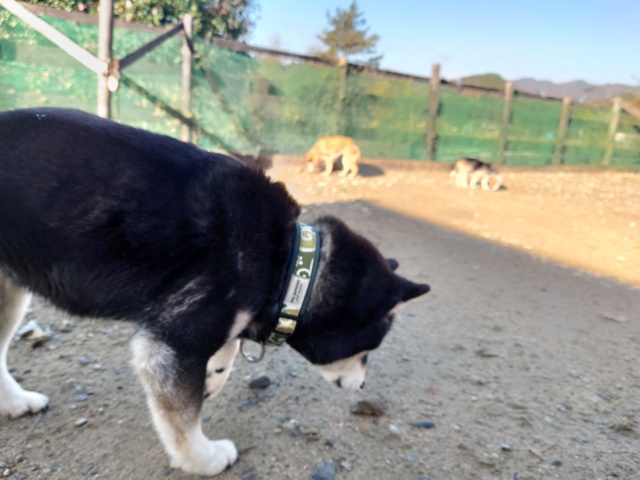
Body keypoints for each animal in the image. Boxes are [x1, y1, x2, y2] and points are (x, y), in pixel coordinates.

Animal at [0, 108, 429, 477]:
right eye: (370, 347)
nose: (363, 386)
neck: (289, 262)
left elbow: (227, 347)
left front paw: (213, 377)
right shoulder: (170, 343)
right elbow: (183, 420)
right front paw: (202, 459)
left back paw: (16, 403)